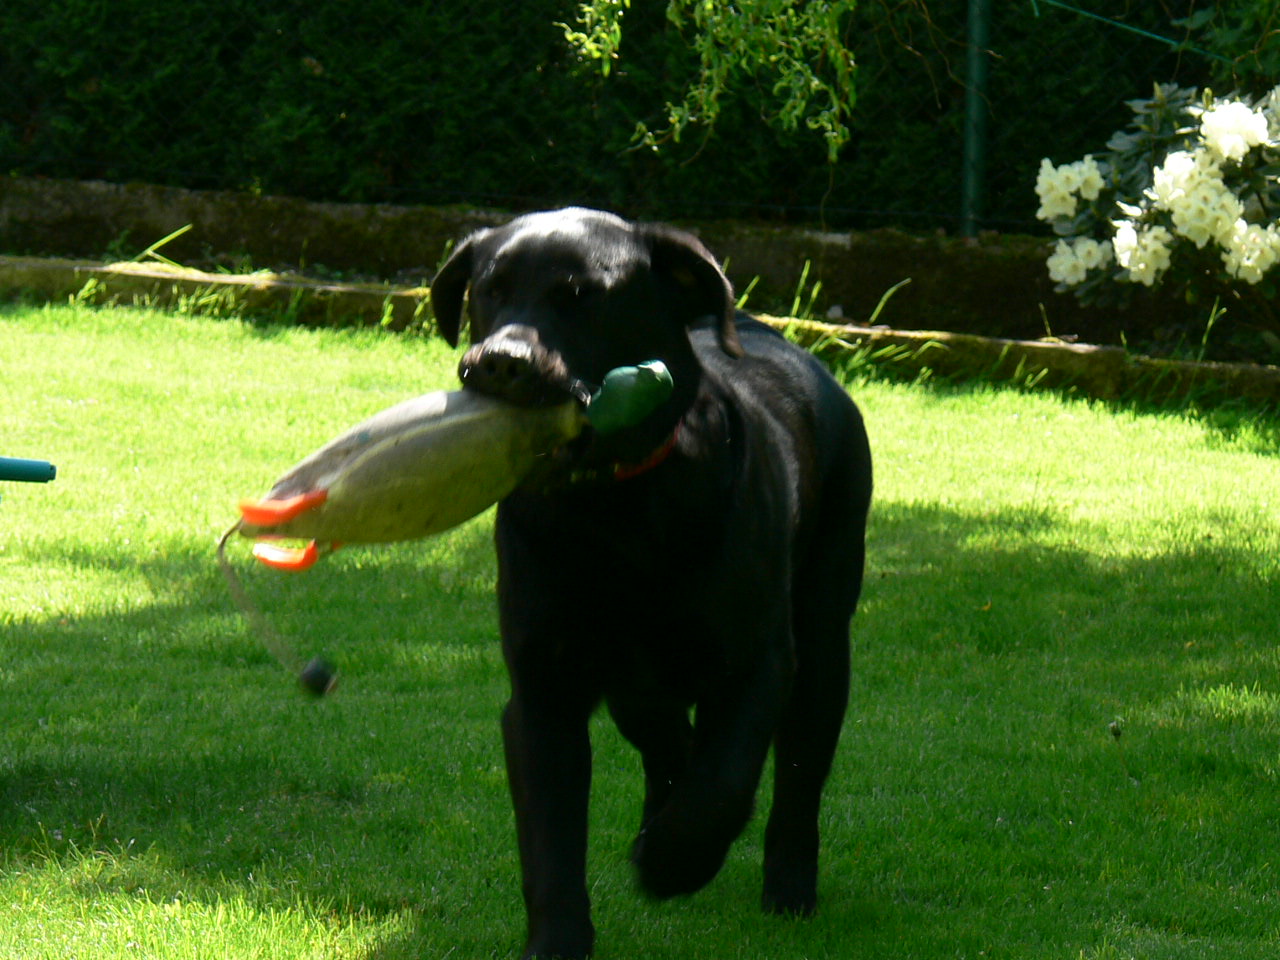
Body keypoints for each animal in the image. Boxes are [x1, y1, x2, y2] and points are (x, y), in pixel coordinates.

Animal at [430, 209, 870, 960]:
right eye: (491, 291)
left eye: (582, 297)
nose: (499, 361)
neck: (612, 507)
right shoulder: (544, 688)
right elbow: (550, 838)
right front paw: (559, 941)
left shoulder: (759, 661)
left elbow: (724, 780)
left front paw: (674, 862)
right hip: (634, 680)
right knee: (668, 741)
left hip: (822, 640)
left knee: (798, 775)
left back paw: (787, 885)